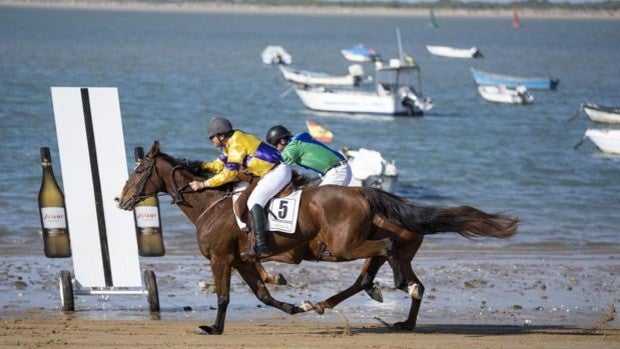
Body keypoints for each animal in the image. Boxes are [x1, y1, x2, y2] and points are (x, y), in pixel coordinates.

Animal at [116, 140, 520, 334]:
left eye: (138, 171)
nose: (121, 199)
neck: (210, 205)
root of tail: (366, 193)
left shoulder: (221, 258)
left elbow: (225, 297)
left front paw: (213, 329)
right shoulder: (241, 259)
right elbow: (262, 295)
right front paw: (294, 307)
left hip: (346, 246)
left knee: (384, 260)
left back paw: (381, 293)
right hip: (378, 251)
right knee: (400, 281)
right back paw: (394, 317)